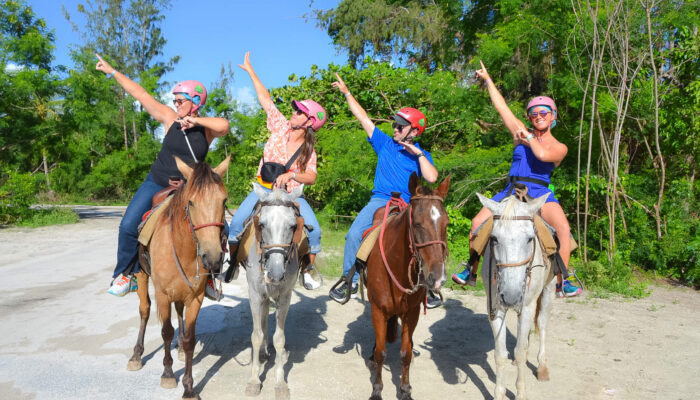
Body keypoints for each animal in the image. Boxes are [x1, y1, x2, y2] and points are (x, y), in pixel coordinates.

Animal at [126, 155, 230, 400]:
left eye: (224, 201)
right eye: (191, 202)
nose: (213, 257)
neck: (183, 247)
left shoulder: (196, 297)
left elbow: (190, 338)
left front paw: (189, 387)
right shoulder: (163, 295)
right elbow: (166, 332)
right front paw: (167, 374)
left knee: (179, 313)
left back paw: (180, 349)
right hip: (142, 276)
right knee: (144, 310)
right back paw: (136, 355)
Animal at [243, 184, 304, 400]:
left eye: (293, 226)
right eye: (261, 224)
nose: (276, 273)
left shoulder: (285, 297)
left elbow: (279, 338)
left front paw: (280, 382)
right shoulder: (254, 295)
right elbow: (255, 335)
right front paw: (253, 381)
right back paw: (261, 353)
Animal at [364, 173, 452, 400]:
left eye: (446, 224)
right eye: (418, 224)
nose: (437, 278)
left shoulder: (412, 313)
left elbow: (406, 354)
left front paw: (404, 390)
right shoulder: (378, 310)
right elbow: (380, 353)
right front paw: (376, 390)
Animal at [476, 194, 556, 400]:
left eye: (529, 239)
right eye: (494, 238)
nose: (511, 297)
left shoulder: (527, 307)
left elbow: (520, 352)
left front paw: (520, 393)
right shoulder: (495, 308)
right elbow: (500, 354)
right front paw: (499, 393)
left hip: (548, 290)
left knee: (542, 324)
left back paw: (542, 367)